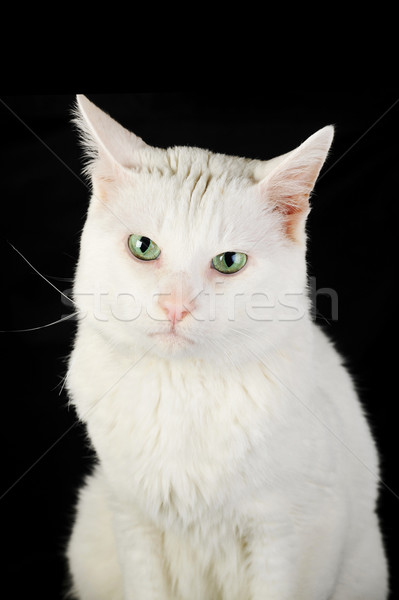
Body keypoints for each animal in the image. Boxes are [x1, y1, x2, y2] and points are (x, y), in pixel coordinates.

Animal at [66, 96, 390, 596]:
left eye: (229, 261)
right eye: (143, 247)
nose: (175, 306)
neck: (181, 390)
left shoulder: (289, 534)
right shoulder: (132, 521)